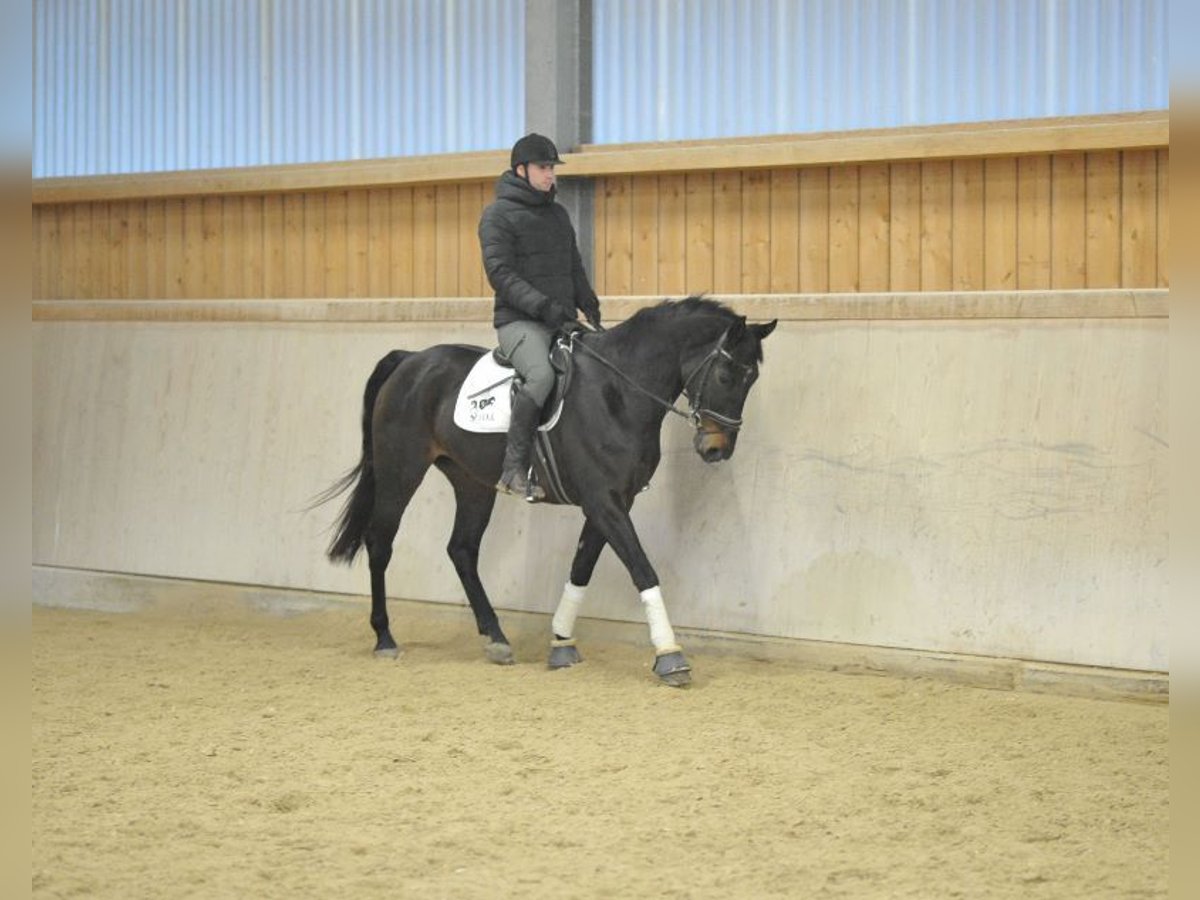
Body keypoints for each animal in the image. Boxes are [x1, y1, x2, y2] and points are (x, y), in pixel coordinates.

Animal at [321, 300, 777, 686]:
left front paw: (561, 643)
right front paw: (670, 657)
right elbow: (642, 570)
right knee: (380, 543)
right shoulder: (604, 501)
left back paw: (496, 638)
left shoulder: (610, 502)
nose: (716, 450)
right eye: (725, 376)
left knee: (462, 550)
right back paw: (385, 639)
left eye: (752, 379)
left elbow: (581, 568)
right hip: (401, 471)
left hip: (472, 482)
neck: (618, 393)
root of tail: (410, 360)